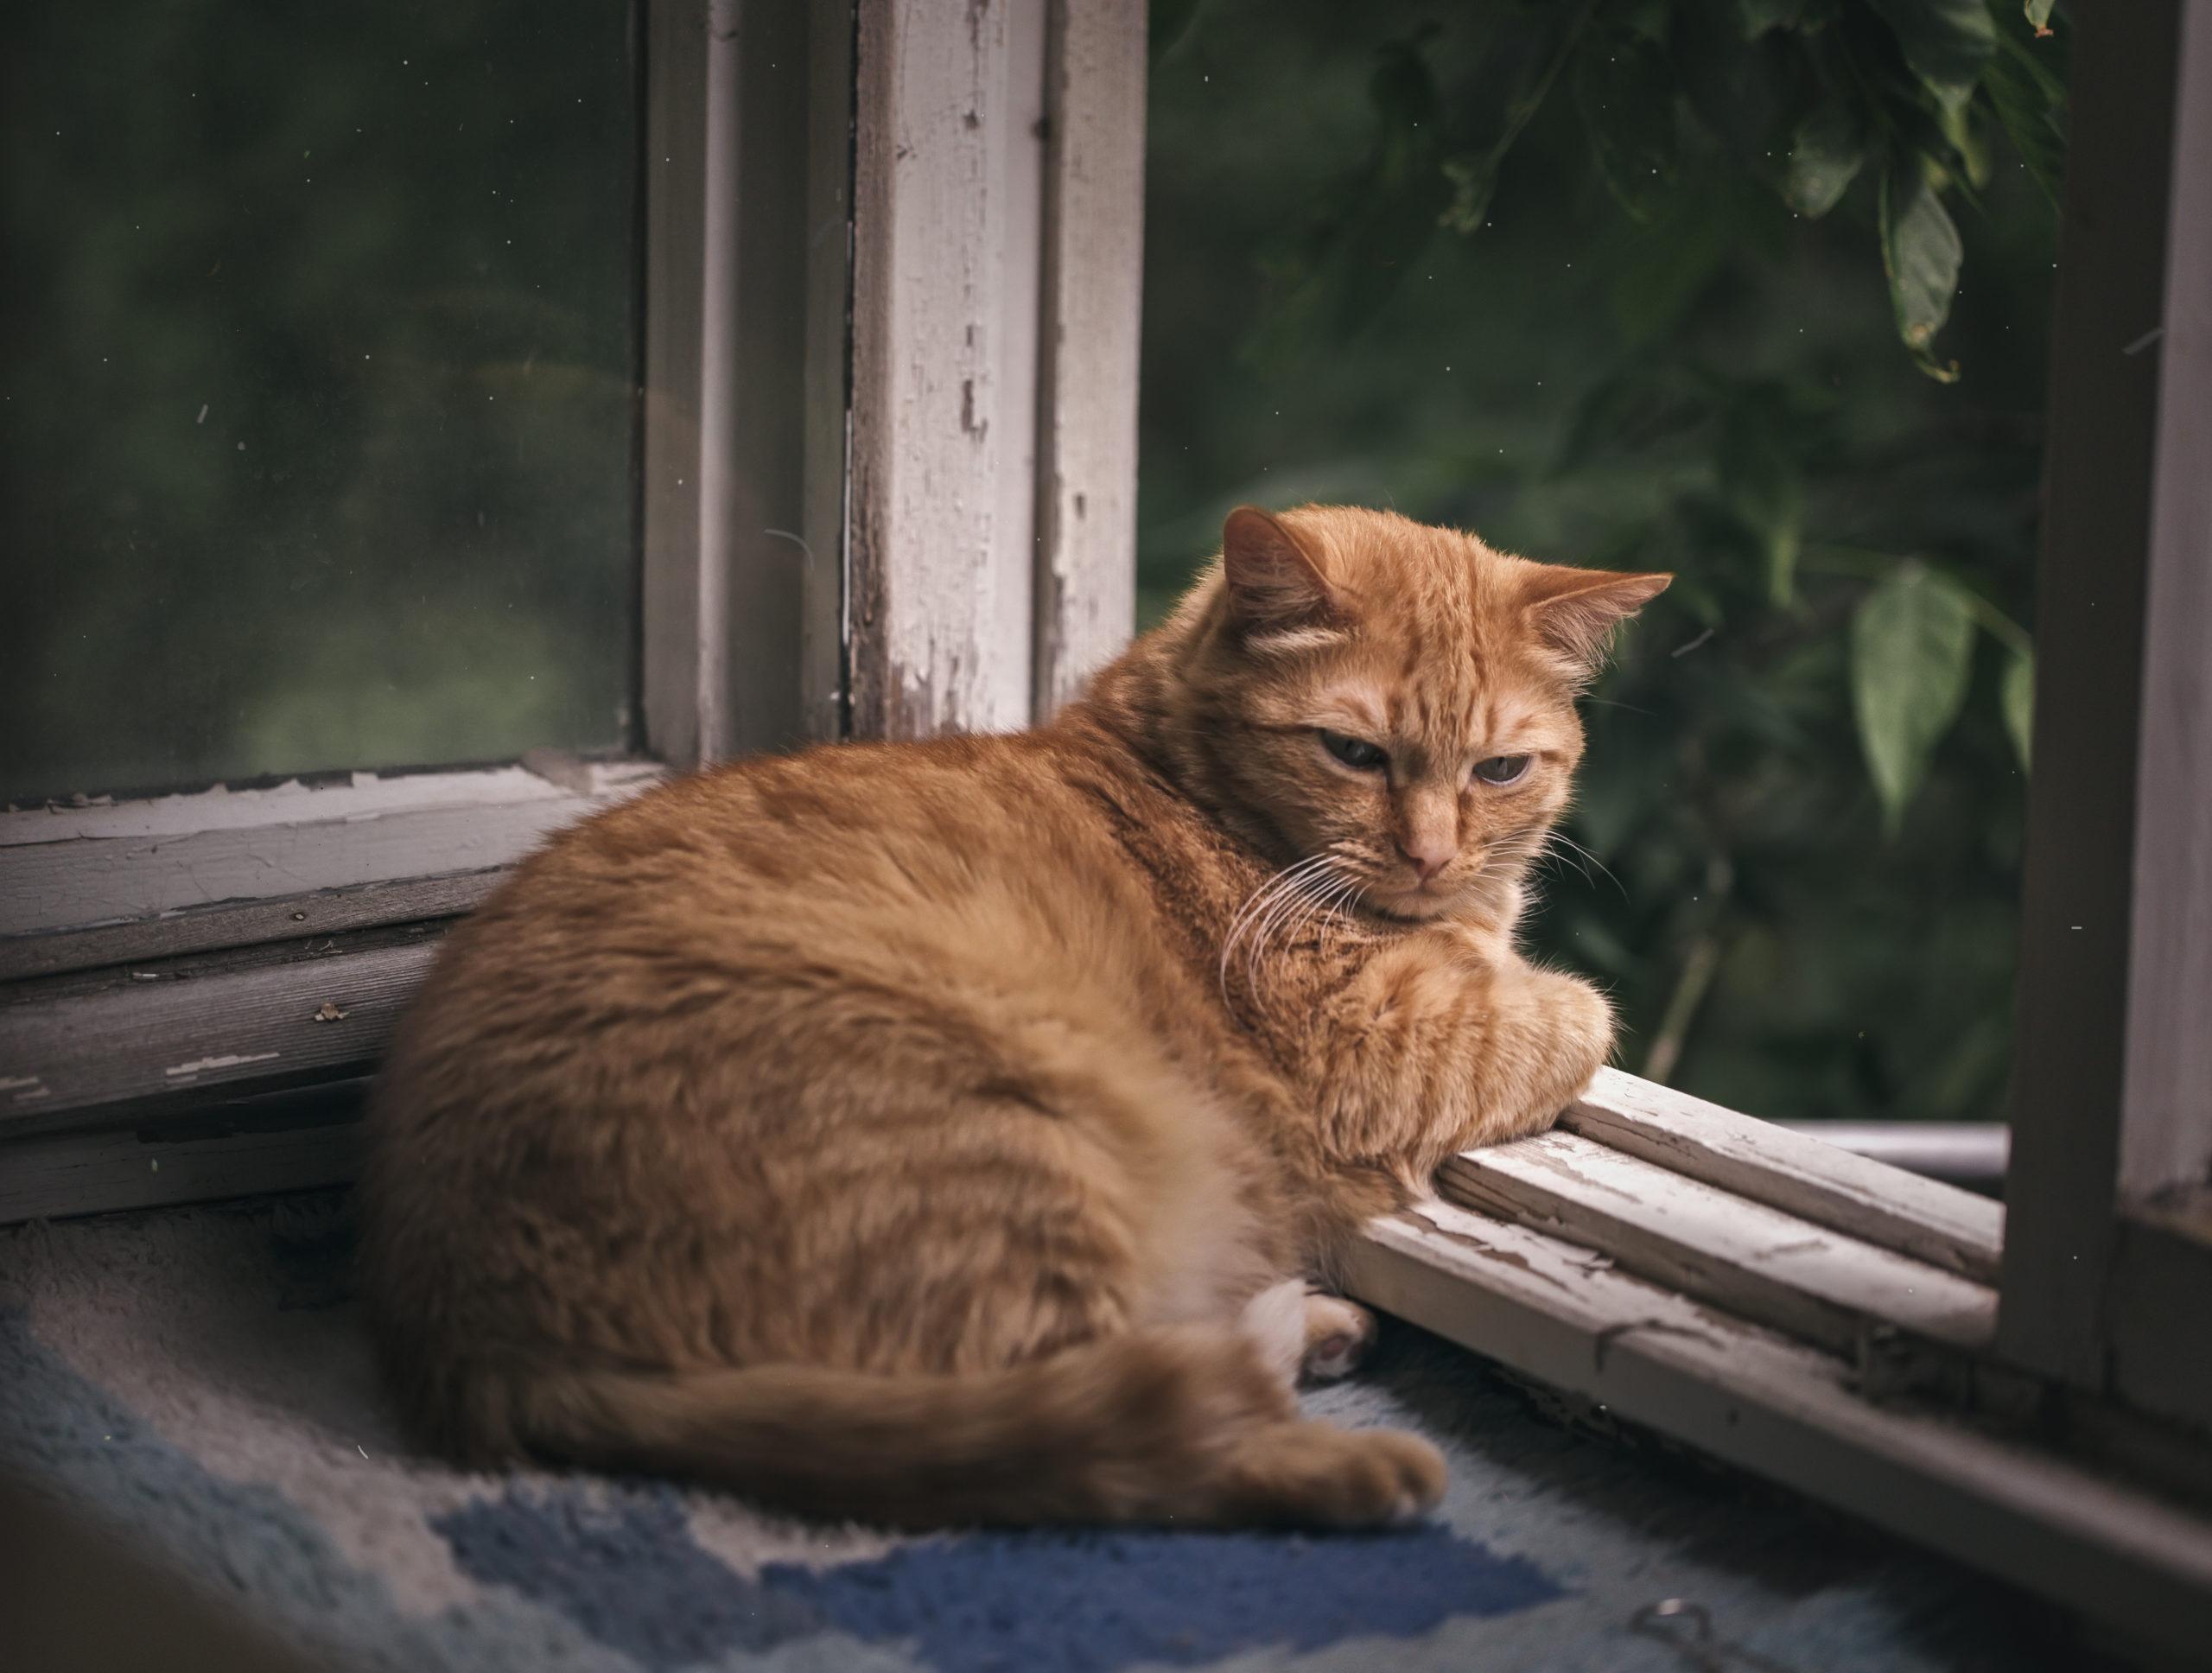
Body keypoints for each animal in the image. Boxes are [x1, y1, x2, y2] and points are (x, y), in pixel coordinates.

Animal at [358, 506, 1663, 1531]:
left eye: (1500, 771)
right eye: (1352, 752)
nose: (1434, 856)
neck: (1183, 784)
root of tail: (477, 1327)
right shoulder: (1376, 1045)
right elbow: (1571, 1014)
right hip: (1018, 1142)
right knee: (1115, 1445)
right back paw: (1341, 1448)